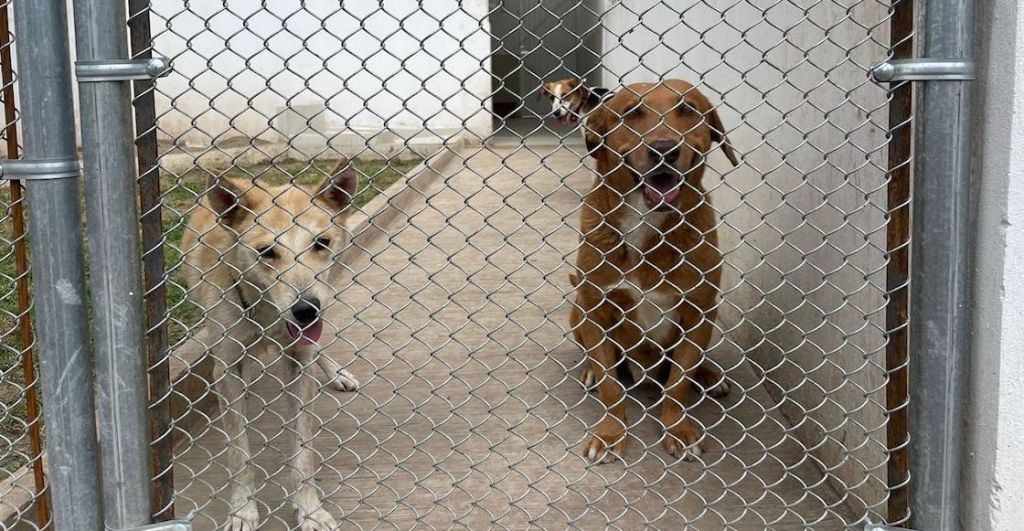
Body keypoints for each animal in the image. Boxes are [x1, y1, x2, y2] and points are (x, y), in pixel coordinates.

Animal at [180, 161, 360, 531]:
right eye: (266, 252)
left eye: (321, 242)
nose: (306, 310)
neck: (266, 311)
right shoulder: (227, 365)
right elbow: (239, 453)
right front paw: (242, 511)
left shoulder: (299, 362)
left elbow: (303, 454)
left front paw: (310, 510)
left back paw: (337, 373)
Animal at [573, 79, 741, 466]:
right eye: (631, 112)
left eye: (687, 109)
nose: (664, 149)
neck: (646, 223)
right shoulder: (595, 306)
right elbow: (610, 384)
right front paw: (610, 433)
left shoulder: (699, 310)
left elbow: (678, 383)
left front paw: (678, 429)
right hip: (576, 308)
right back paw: (588, 370)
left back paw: (710, 375)